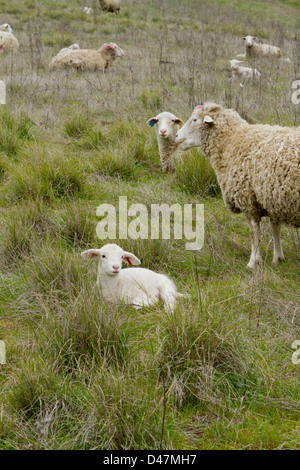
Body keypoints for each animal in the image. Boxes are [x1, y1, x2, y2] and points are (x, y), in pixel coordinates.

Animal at [176, 103, 300, 272]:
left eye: (194, 120)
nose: (176, 136)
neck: (232, 141)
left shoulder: (247, 200)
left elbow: (254, 233)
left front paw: (253, 263)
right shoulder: (271, 199)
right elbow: (275, 228)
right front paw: (278, 258)